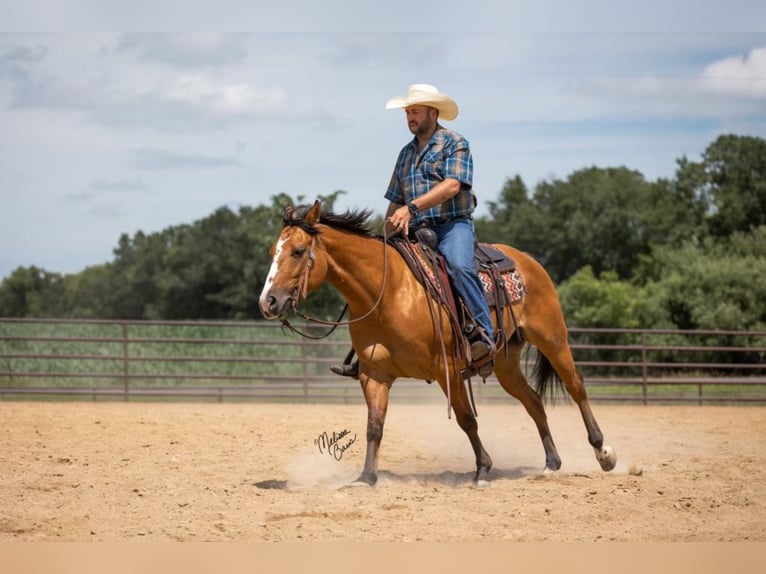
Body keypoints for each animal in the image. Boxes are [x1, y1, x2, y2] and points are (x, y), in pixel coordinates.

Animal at [258, 200, 616, 488]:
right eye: (273, 252)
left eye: (298, 251)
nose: (268, 302)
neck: (387, 292)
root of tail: (526, 260)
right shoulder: (373, 375)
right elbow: (375, 425)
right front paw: (367, 477)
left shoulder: (450, 369)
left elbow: (466, 419)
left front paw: (483, 470)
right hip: (506, 364)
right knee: (533, 401)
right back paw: (552, 463)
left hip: (553, 338)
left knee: (576, 386)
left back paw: (604, 452)